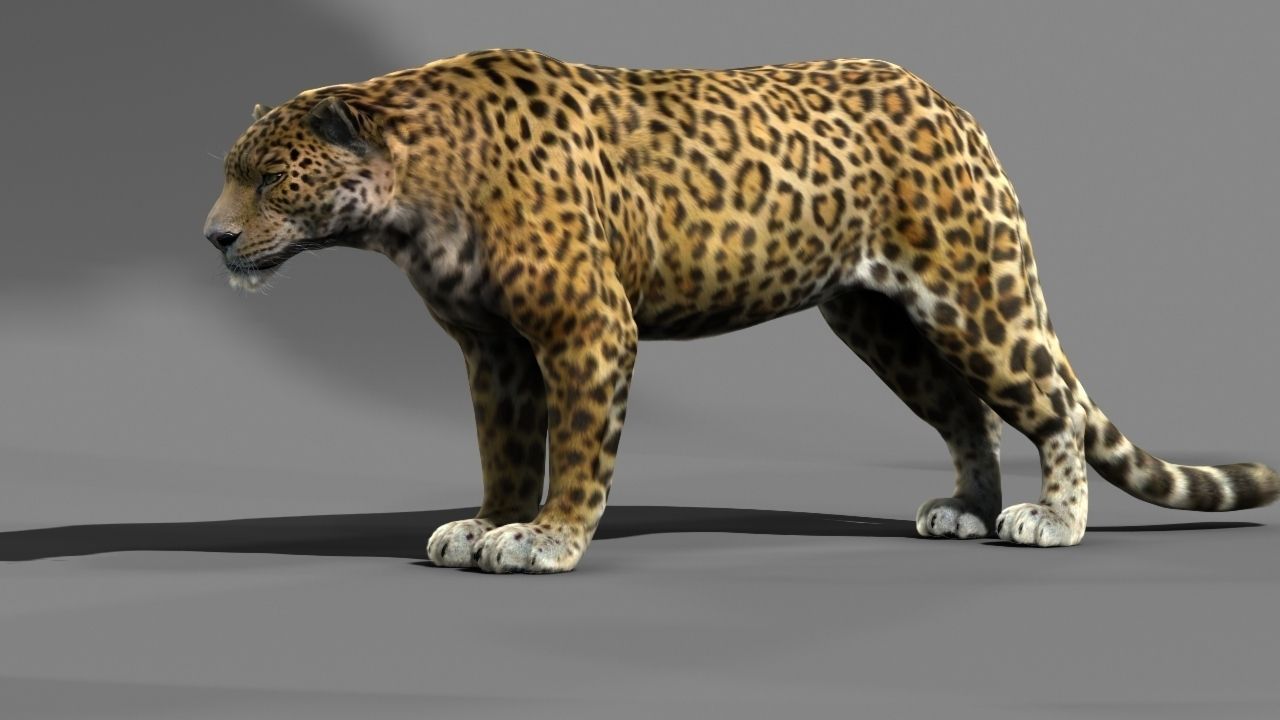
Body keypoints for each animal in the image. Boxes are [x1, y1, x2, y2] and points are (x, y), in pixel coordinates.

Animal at [204, 49, 1279, 573]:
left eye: (268, 178)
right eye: (230, 173)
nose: (210, 237)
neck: (413, 195)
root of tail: (952, 105)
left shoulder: (588, 330)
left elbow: (578, 449)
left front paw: (548, 541)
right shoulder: (492, 349)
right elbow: (503, 446)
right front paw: (486, 524)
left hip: (974, 297)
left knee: (1048, 406)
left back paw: (1049, 520)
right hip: (879, 322)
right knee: (964, 412)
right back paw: (965, 511)